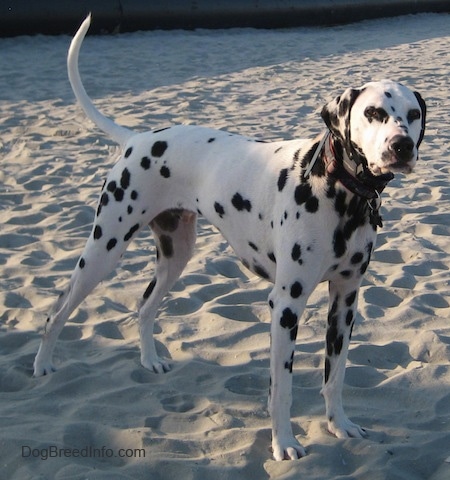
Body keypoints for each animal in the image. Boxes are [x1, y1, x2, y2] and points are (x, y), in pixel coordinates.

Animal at [31, 15, 426, 462]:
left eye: (413, 113)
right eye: (373, 112)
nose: (402, 146)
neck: (339, 190)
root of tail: (137, 139)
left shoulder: (345, 302)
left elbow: (335, 375)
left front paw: (339, 424)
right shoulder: (285, 305)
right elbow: (281, 388)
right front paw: (284, 443)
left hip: (176, 255)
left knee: (145, 306)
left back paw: (150, 360)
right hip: (103, 250)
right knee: (58, 309)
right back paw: (42, 365)